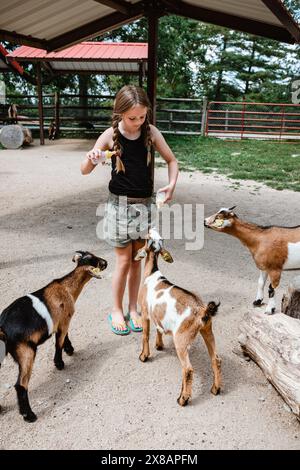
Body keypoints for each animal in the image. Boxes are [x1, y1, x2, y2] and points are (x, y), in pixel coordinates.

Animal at [0, 252, 107, 424]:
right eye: (90, 258)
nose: (105, 263)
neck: (66, 287)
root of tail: (2, 326)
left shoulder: (62, 320)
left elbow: (64, 336)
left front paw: (69, 349)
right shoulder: (65, 318)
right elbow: (58, 342)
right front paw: (59, 363)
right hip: (26, 351)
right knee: (21, 384)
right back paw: (29, 415)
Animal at [135, 229, 221, 406]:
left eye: (147, 239)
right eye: (157, 239)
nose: (150, 229)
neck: (151, 273)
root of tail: (201, 310)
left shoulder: (145, 313)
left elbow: (145, 335)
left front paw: (144, 356)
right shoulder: (157, 315)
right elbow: (159, 328)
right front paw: (159, 345)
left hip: (181, 339)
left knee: (187, 369)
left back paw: (183, 398)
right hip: (208, 331)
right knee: (215, 359)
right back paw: (215, 389)